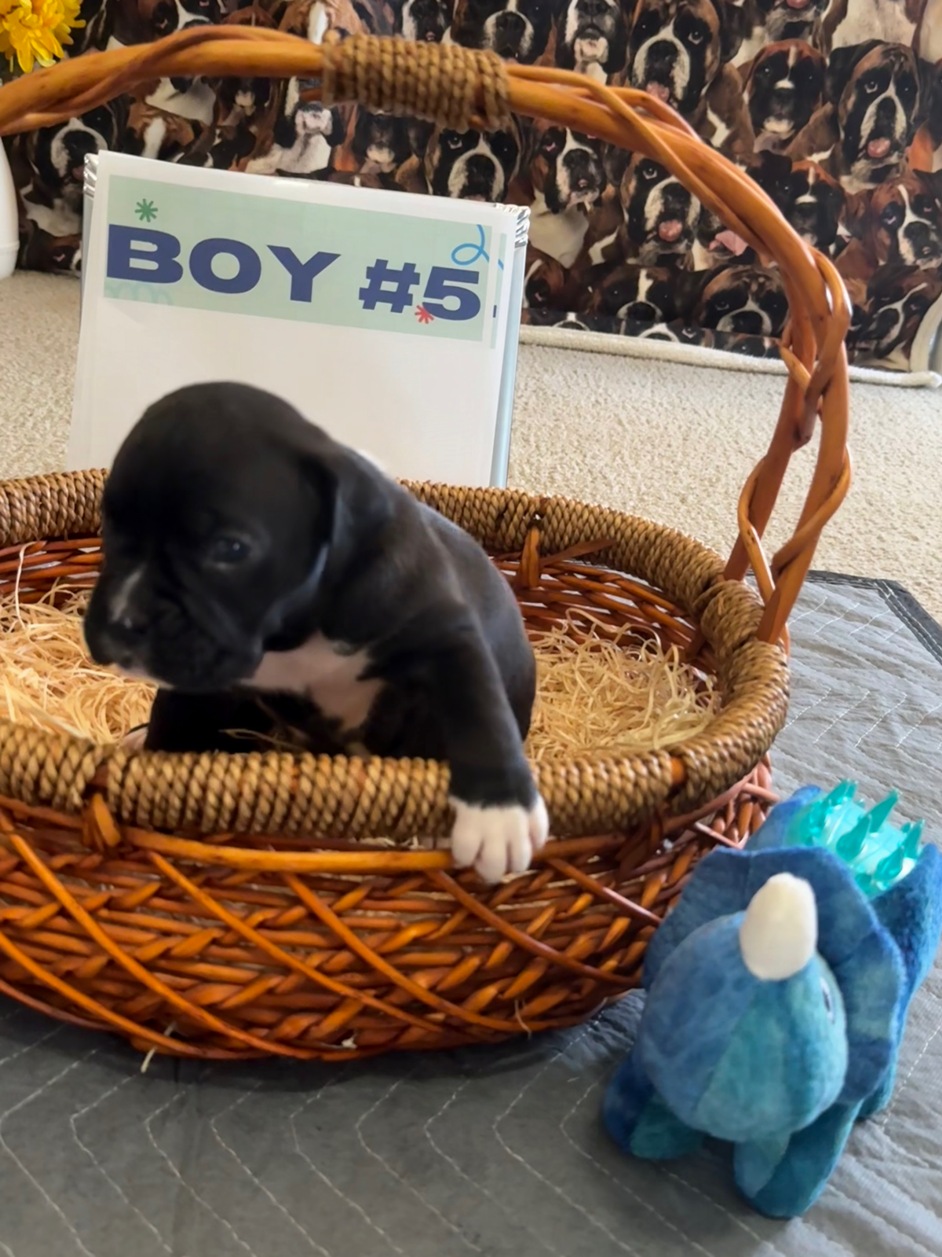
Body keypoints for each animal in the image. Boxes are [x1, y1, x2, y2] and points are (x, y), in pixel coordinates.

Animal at [84, 384, 549, 883]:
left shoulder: (446, 636)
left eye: (230, 548)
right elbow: (170, 725)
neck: (294, 629)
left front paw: (500, 814)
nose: (123, 619)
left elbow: (480, 710)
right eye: (110, 526)